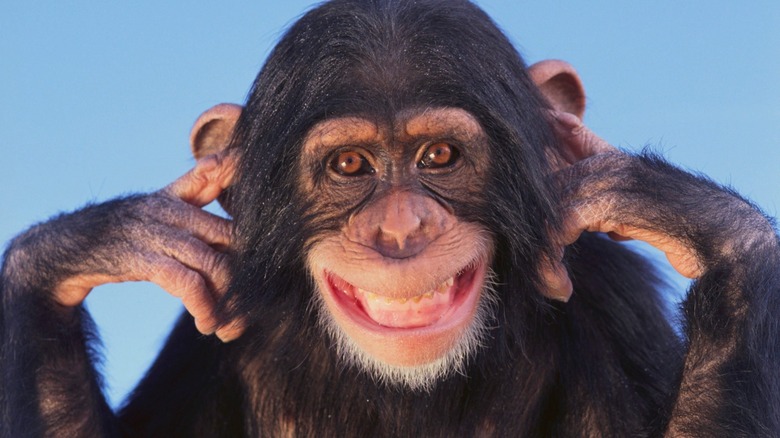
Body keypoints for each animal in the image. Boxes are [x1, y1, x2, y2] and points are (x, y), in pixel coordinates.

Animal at [1, 0, 780, 438]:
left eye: (439, 155)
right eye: (350, 165)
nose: (401, 228)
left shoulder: (611, 303)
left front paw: (694, 218)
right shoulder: (210, 325)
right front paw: (96, 244)